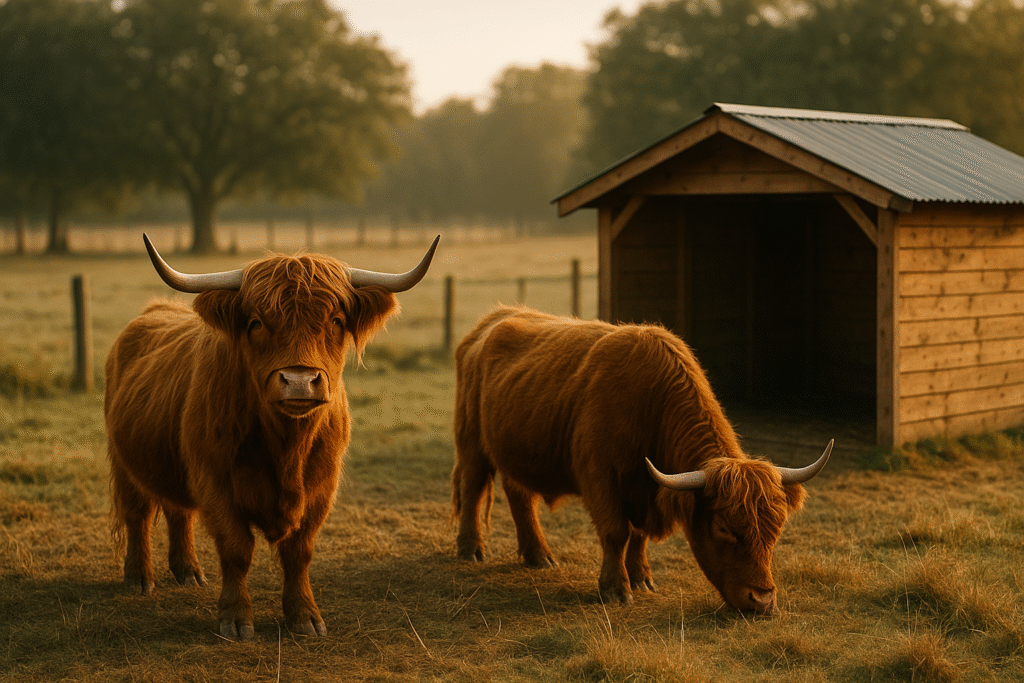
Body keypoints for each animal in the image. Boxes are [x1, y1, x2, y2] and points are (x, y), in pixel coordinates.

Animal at [105, 234, 438, 640]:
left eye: (336, 320)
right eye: (256, 322)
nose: (299, 381)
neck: (286, 446)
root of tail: (155, 310)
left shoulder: (321, 486)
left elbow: (299, 552)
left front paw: (304, 617)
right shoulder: (214, 480)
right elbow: (236, 549)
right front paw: (236, 619)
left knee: (178, 511)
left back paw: (189, 572)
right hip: (124, 461)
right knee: (137, 514)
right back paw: (139, 578)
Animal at [451, 305, 831, 613]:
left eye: (776, 527)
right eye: (723, 527)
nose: (762, 600)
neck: (651, 407)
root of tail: (494, 318)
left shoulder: (647, 490)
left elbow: (639, 535)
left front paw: (641, 578)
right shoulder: (599, 477)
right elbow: (616, 532)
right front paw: (615, 588)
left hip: (518, 450)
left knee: (520, 496)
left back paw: (539, 556)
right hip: (471, 442)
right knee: (473, 488)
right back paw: (471, 549)